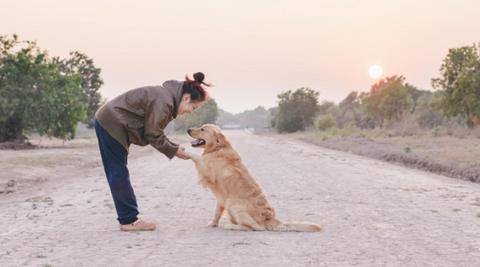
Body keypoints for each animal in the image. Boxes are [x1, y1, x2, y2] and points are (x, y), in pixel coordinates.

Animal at [185, 125, 322, 232]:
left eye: (202, 129)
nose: (187, 129)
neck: (218, 148)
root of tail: (270, 218)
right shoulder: (220, 196)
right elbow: (217, 211)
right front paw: (213, 222)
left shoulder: (208, 173)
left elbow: (197, 157)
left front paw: (185, 152)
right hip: (229, 202)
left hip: (233, 204)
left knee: (255, 227)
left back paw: (231, 226)